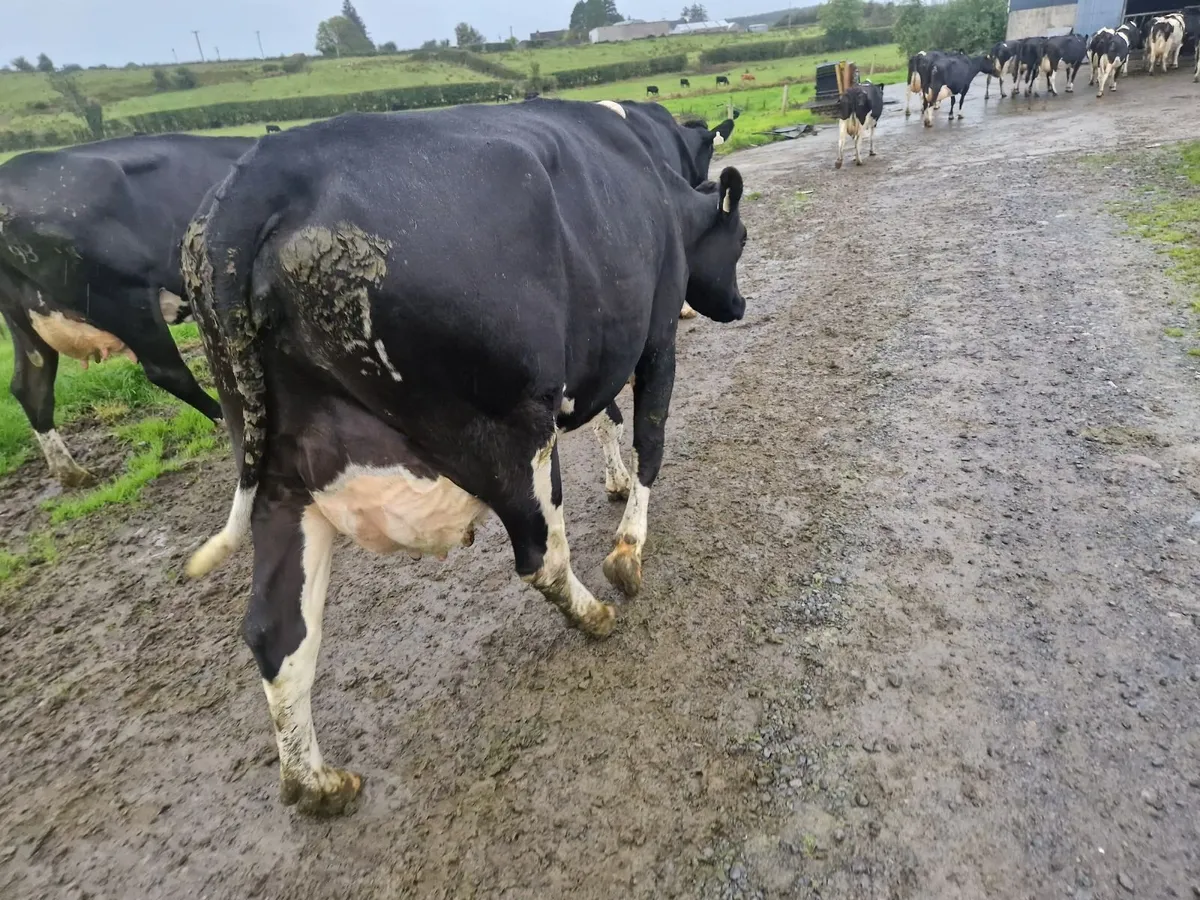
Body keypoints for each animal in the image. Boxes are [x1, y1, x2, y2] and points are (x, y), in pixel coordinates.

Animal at [180, 100, 750, 816]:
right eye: (742, 239)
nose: (739, 305)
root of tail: (259, 179)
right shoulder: (654, 338)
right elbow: (650, 435)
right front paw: (629, 545)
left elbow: (607, 419)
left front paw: (615, 486)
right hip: (511, 430)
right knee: (540, 555)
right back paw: (594, 614)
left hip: (281, 478)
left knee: (275, 632)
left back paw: (317, 783)